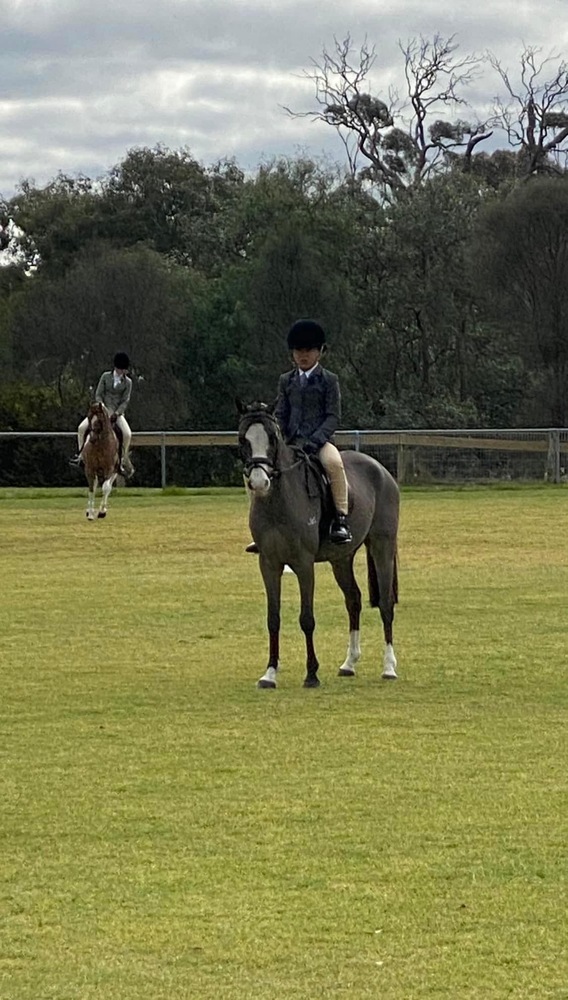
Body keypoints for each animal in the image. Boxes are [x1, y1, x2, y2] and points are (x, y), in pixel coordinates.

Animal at [237, 401, 400, 689]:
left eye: (272, 439)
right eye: (243, 439)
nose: (259, 482)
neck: (279, 501)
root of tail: (381, 470)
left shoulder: (303, 564)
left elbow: (307, 619)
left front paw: (311, 674)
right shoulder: (268, 564)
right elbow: (273, 619)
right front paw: (269, 674)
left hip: (382, 546)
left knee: (385, 603)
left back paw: (389, 667)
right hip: (341, 559)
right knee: (353, 600)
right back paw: (349, 664)